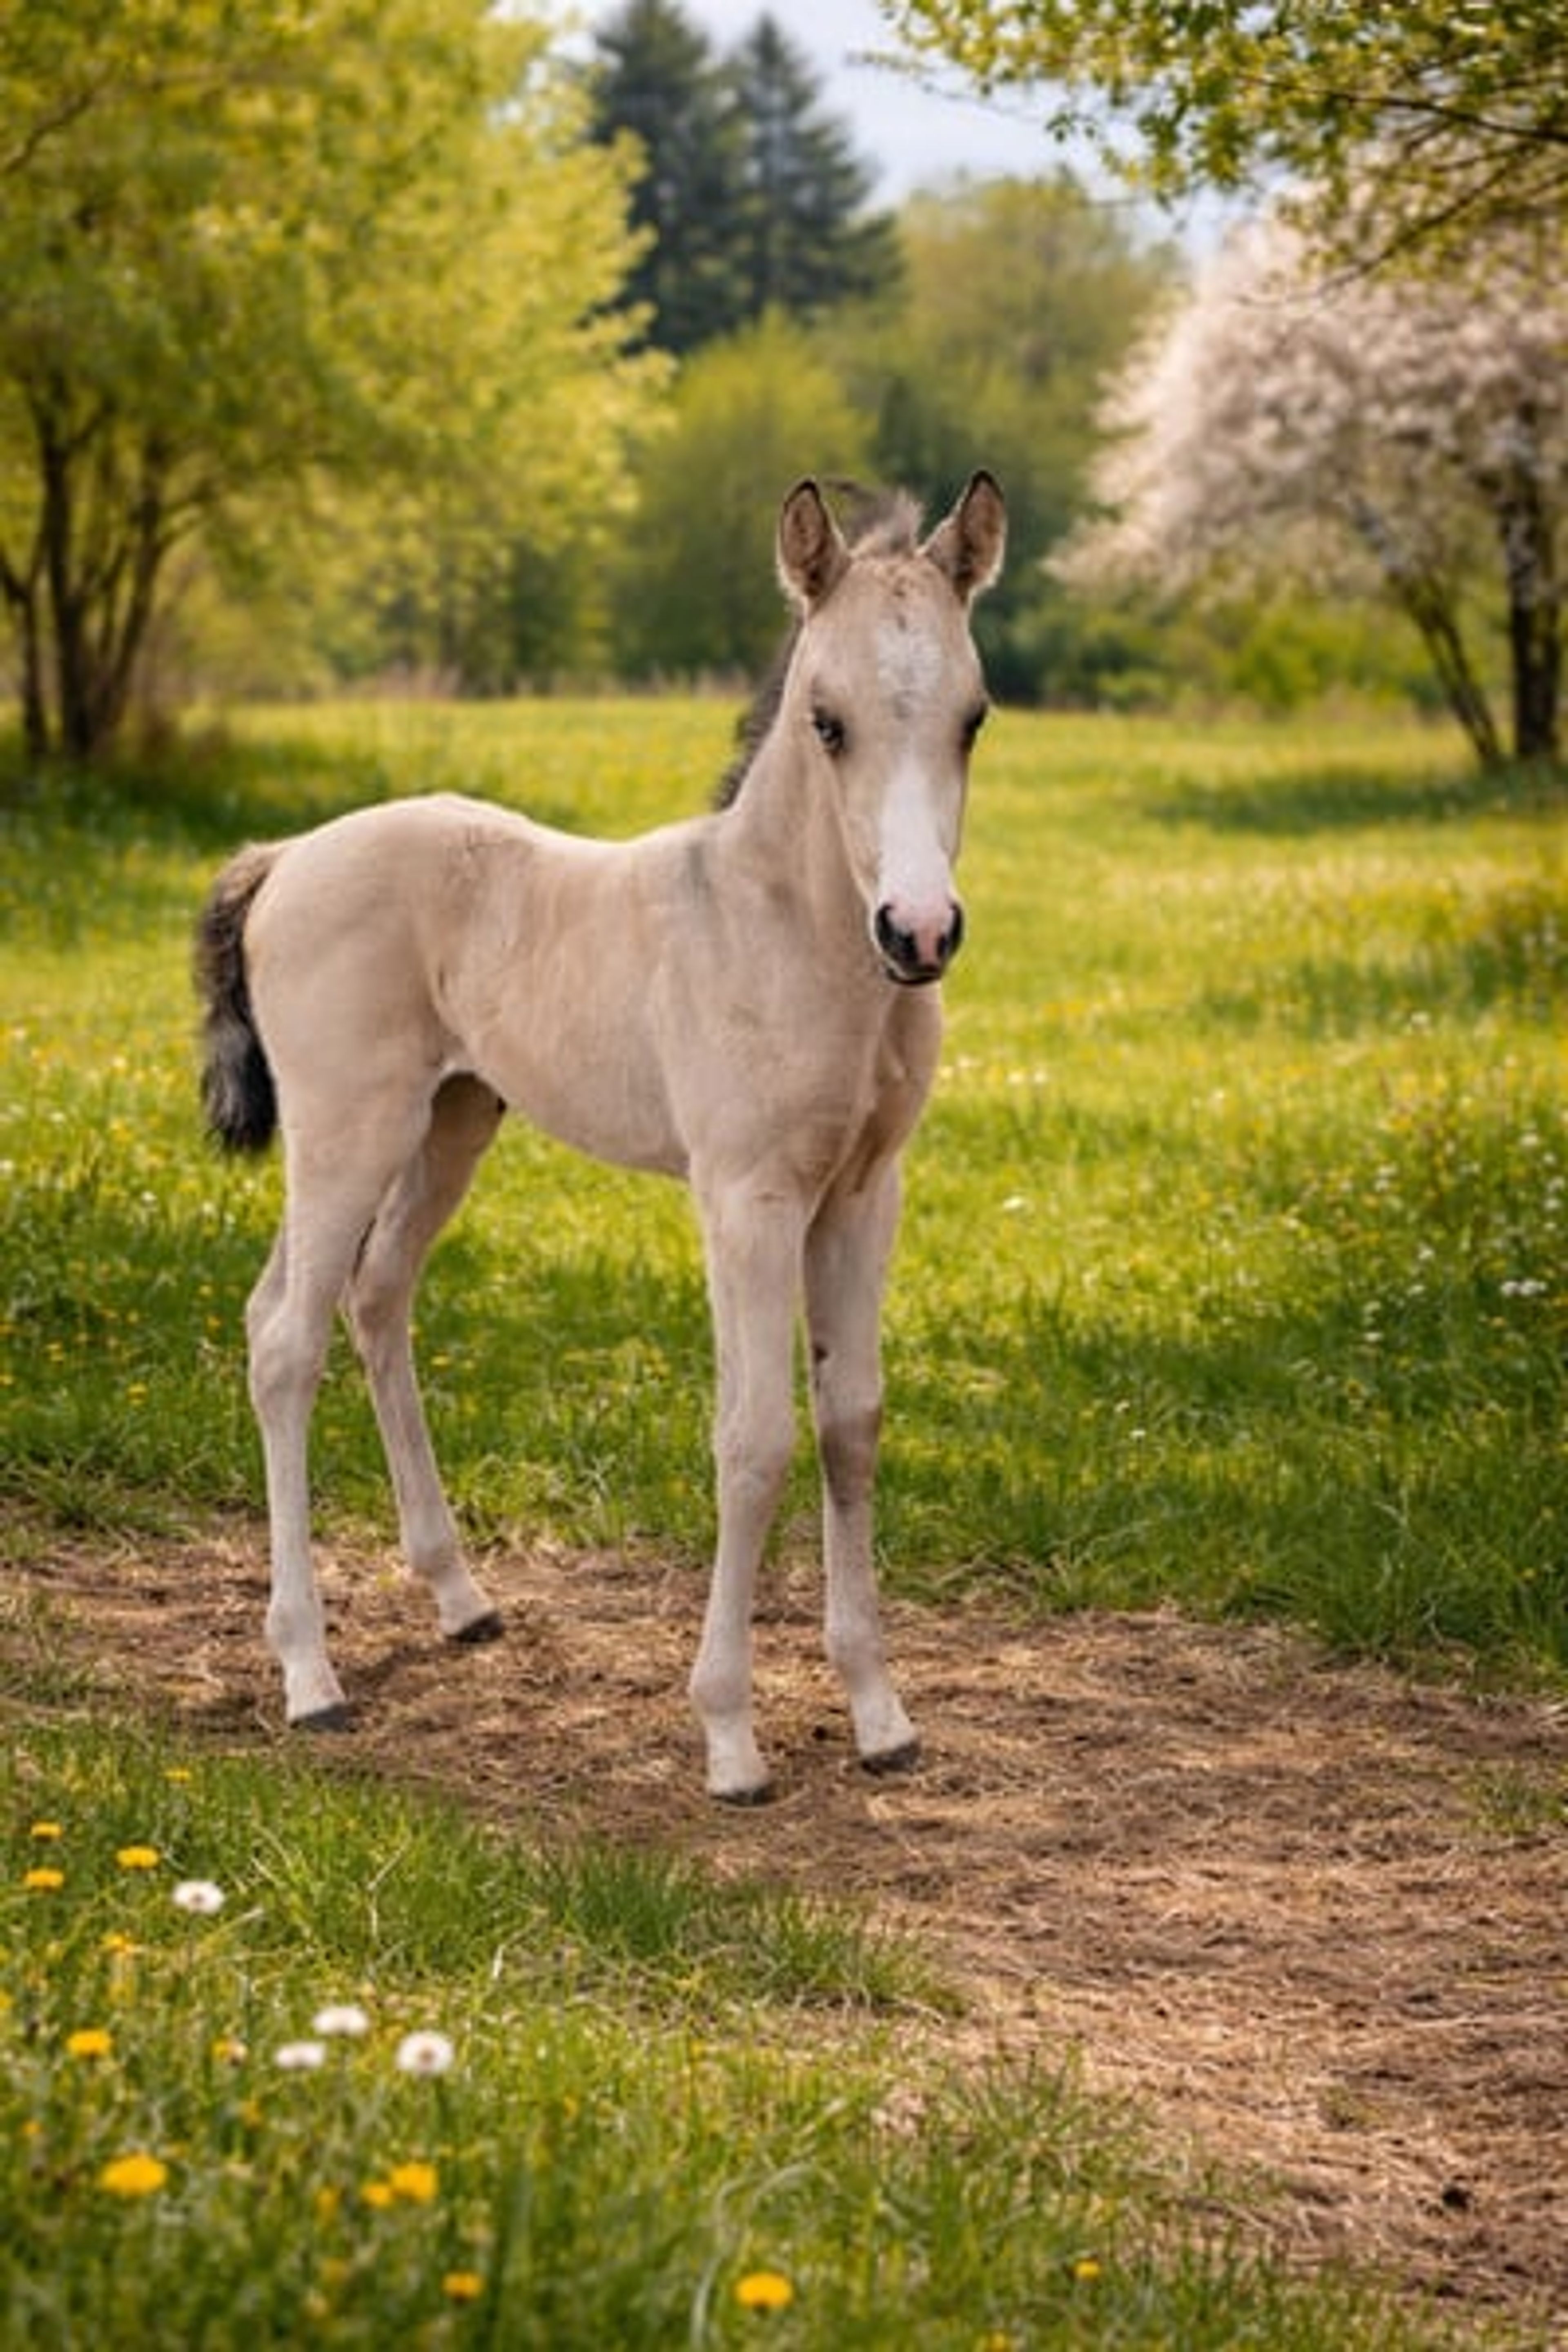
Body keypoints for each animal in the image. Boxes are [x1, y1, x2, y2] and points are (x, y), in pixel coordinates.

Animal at [194, 471, 1005, 1801]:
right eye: (825, 722)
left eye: (973, 719)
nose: (919, 930)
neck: (788, 936)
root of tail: (285, 857)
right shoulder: (745, 1199)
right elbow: (754, 1439)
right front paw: (729, 1738)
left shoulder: (862, 1192)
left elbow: (850, 1424)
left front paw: (879, 1715)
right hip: (346, 1133)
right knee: (284, 1339)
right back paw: (309, 1674)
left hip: (451, 1125)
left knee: (374, 1299)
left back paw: (459, 1598)